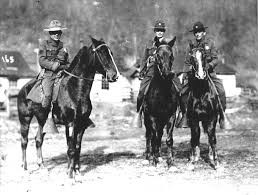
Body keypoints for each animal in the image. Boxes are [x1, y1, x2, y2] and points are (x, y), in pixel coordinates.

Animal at [17, 37, 119, 178]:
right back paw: (24, 167)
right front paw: (71, 176)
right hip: (25, 119)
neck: (75, 89)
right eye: (101, 53)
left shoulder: (81, 125)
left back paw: (41, 166)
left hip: (43, 121)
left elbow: (77, 148)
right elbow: (71, 149)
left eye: (111, 53)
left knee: (38, 140)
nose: (114, 75)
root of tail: (23, 88)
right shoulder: (71, 123)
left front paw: (77, 171)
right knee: (24, 141)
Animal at [140, 38, 178, 167]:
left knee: (159, 135)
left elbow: (169, 139)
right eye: (158, 56)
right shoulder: (152, 116)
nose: (168, 74)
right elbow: (153, 138)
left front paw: (170, 162)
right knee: (149, 135)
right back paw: (149, 156)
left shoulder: (171, 116)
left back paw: (158, 155)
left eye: (171, 55)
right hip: (147, 119)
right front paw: (153, 160)